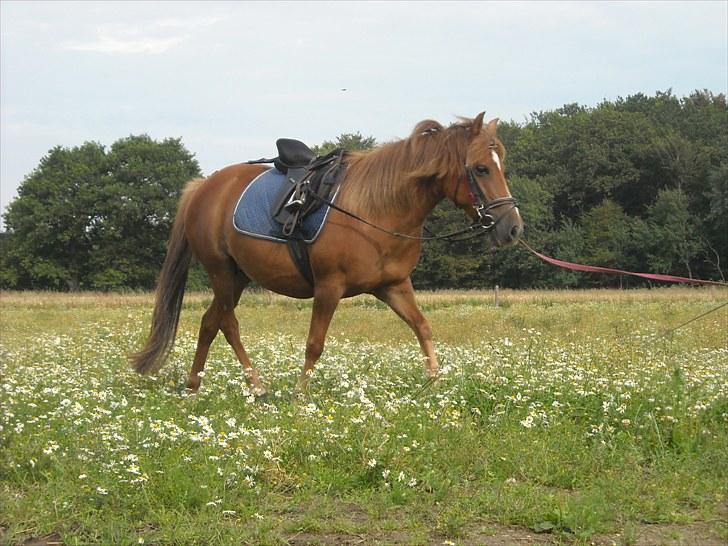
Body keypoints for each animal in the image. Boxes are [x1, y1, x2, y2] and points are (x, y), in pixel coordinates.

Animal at [131, 113, 524, 396]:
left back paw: (203, 386)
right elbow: (314, 344)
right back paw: (244, 385)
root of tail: (203, 187)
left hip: (238, 277)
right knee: (226, 323)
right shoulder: (328, 288)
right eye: (481, 168)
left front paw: (435, 382)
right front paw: (301, 395)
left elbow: (423, 327)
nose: (513, 228)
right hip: (222, 274)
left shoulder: (394, 286)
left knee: (212, 322)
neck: (378, 208)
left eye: (501, 165)